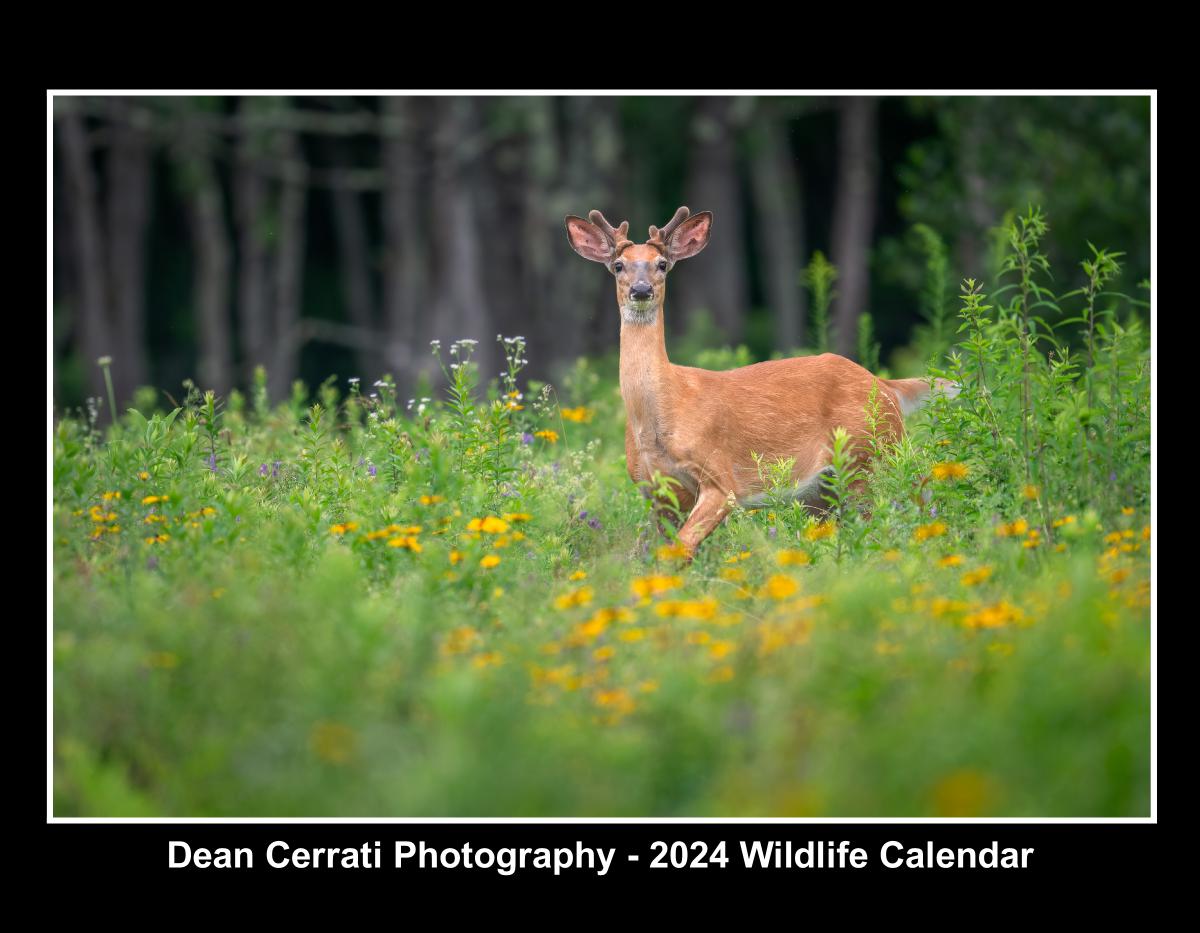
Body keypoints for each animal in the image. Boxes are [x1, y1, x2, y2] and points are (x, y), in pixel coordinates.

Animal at [566, 207, 960, 556]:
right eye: (619, 266)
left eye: (662, 264)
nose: (641, 289)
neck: (661, 416)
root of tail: (886, 385)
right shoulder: (656, 492)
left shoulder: (720, 477)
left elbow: (681, 548)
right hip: (823, 488)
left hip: (872, 455)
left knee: (907, 505)